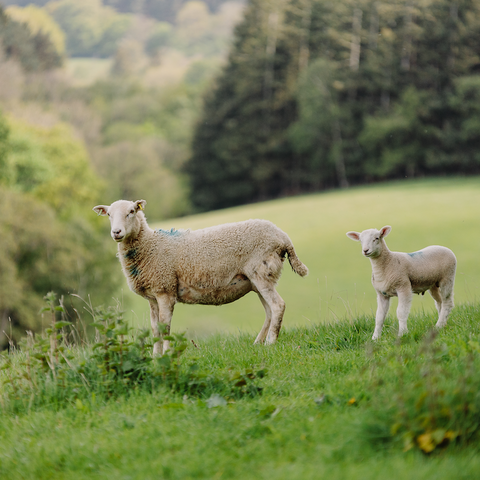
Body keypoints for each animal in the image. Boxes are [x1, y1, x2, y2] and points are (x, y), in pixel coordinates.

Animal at [93, 198, 308, 352]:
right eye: (109, 214)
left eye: (131, 212)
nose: (116, 232)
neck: (150, 245)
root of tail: (283, 237)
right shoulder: (153, 296)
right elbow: (155, 329)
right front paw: (155, 357)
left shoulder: (165, 290)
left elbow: (165, 327)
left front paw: (167, 355)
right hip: (258, 280)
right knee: (269, 311)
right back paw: (258, 343)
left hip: (261, 272)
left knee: (278, 306)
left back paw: (271, 343)